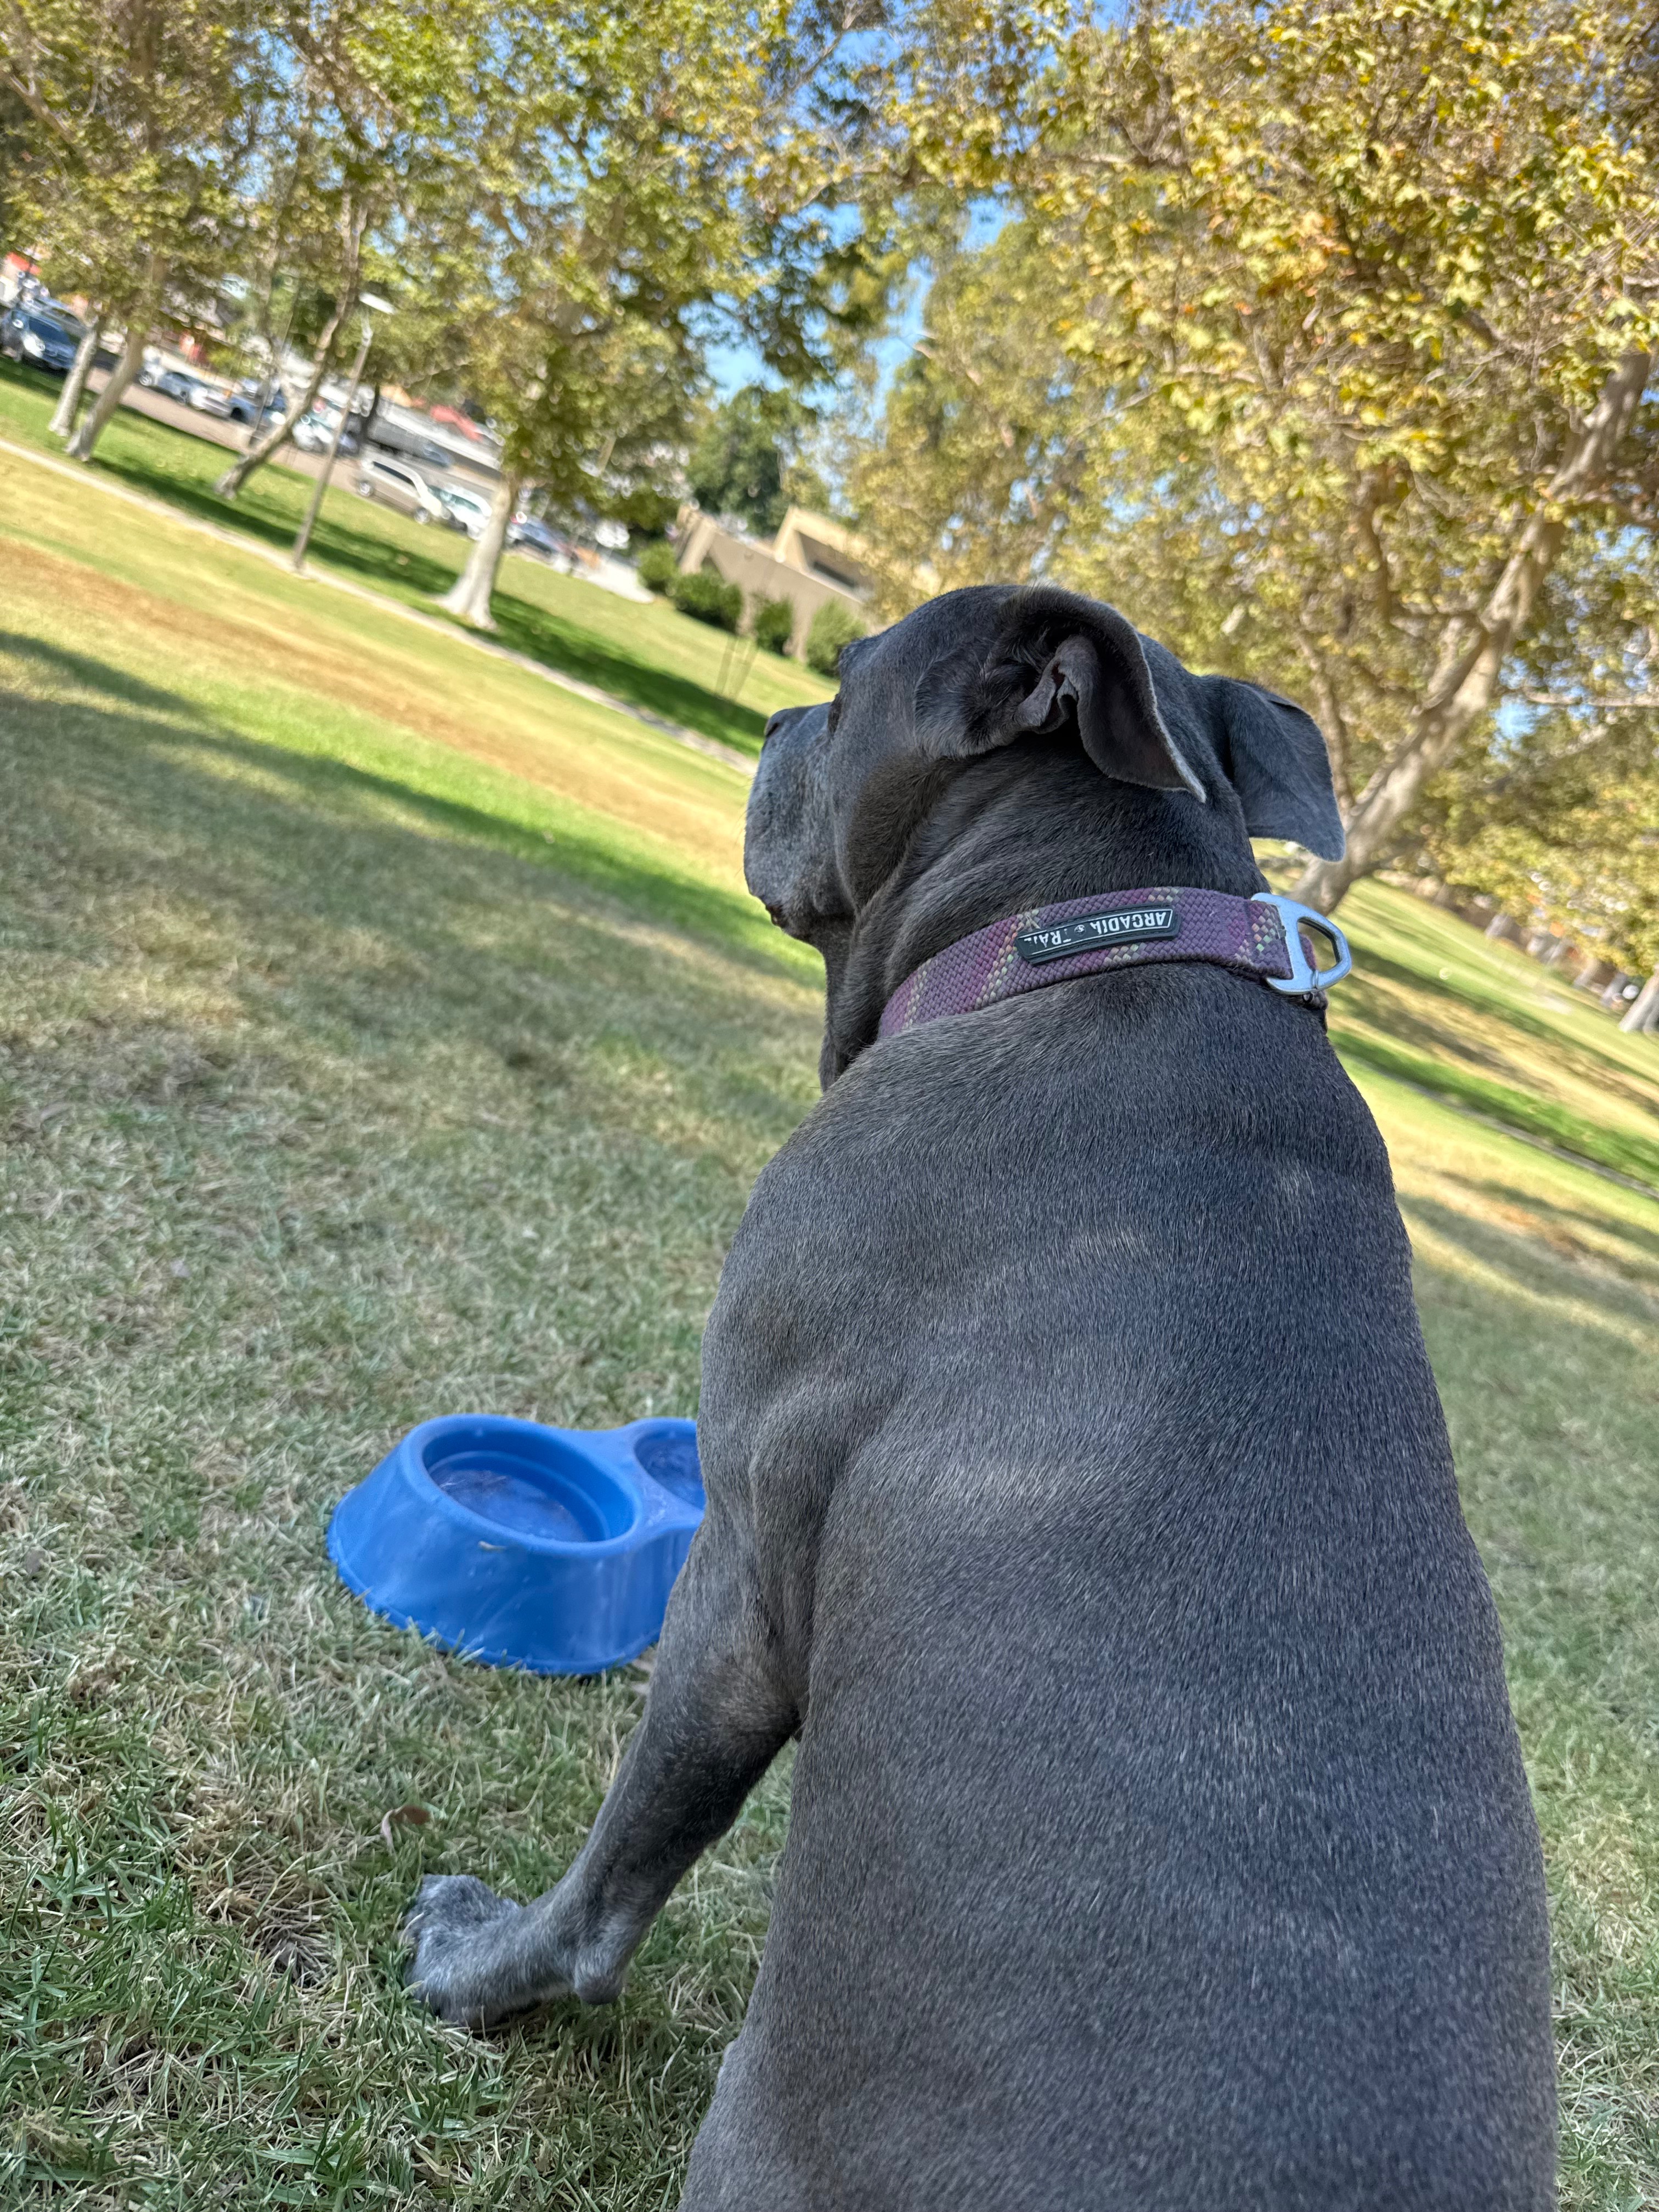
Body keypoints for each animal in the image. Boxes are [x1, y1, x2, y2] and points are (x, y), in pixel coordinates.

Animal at [406, 584, 1556, 2209]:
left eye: (841, 687)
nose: (774, 716)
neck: (1080, 943)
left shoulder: (741, 1561)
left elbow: (615, 1875)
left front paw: (472, 1964)